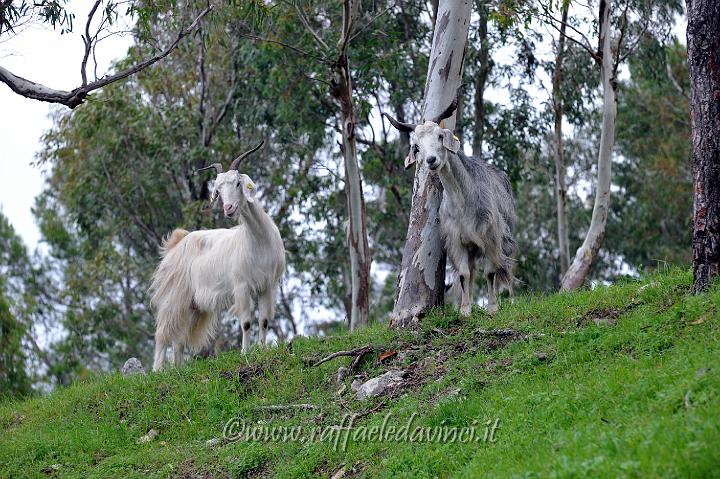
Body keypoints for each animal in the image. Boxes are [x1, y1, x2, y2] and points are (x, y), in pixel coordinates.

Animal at [150, 142, 286, 372]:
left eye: (238, 183)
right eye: (218, 190)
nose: (228, 208)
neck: (258, 241)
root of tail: (176, 244)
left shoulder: (267, 285)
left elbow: (264, 320)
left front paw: (262, 349)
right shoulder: (241, 286)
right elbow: (246, 322)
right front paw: (245, 353)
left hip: (193, 305)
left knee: (179, 340)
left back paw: (178, 369)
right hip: (174, 297)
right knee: (163, 333)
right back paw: (158, 370)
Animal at [386, 104, 516, 316]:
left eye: (440, 136)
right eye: (417, 147)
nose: (431, 160)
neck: (463, 201)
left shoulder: (491, 236)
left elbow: (490, 272)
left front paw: (493, 308)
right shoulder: (456, 241)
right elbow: (464, 274)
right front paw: (465, 310)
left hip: (506, 239)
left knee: (504, 267)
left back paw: (510, 301)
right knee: (473, 272)